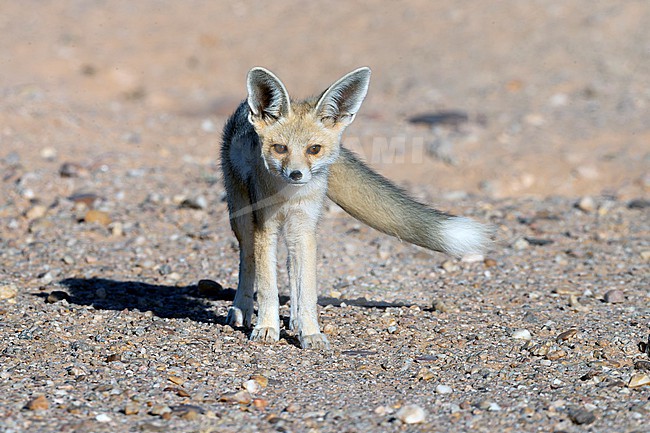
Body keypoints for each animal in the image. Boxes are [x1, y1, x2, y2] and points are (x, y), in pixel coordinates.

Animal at [220, 66, 490, 349]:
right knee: (247, 261)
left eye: (314, 149)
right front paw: (266, 327)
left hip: (296, 232)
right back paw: (242, 309)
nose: (296, 174)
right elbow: (267, 287)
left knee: (291, 268)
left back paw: (294, 319)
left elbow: (307, 290)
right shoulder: (265, 227)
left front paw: (310, 331)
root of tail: (243, 107)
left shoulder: (304, 229)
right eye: (280, 148)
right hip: (242, 220)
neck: (289, 196)